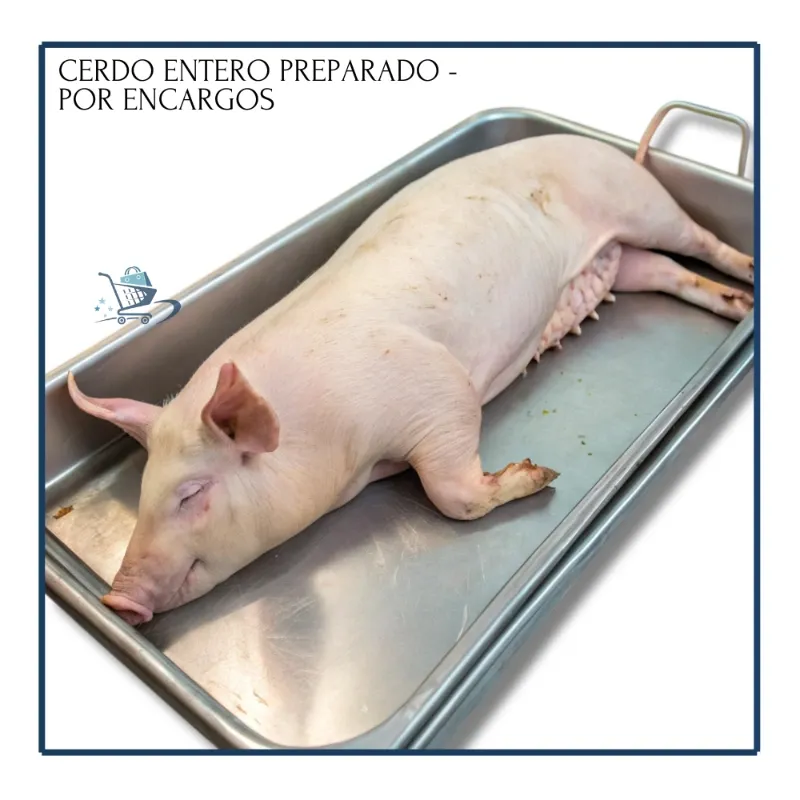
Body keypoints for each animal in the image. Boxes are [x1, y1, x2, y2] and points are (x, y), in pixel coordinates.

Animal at [68, 132, 754, 626]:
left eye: (192, 494)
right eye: (145, 490)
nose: (117, 600)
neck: (340, 453)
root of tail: (606, 145)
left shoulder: (435, 389)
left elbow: (453, 494)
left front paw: (541, 475)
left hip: (643, 203)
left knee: (699, 239)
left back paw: (747, 276)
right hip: (626, 260)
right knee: (665, 271)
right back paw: (737, 306)